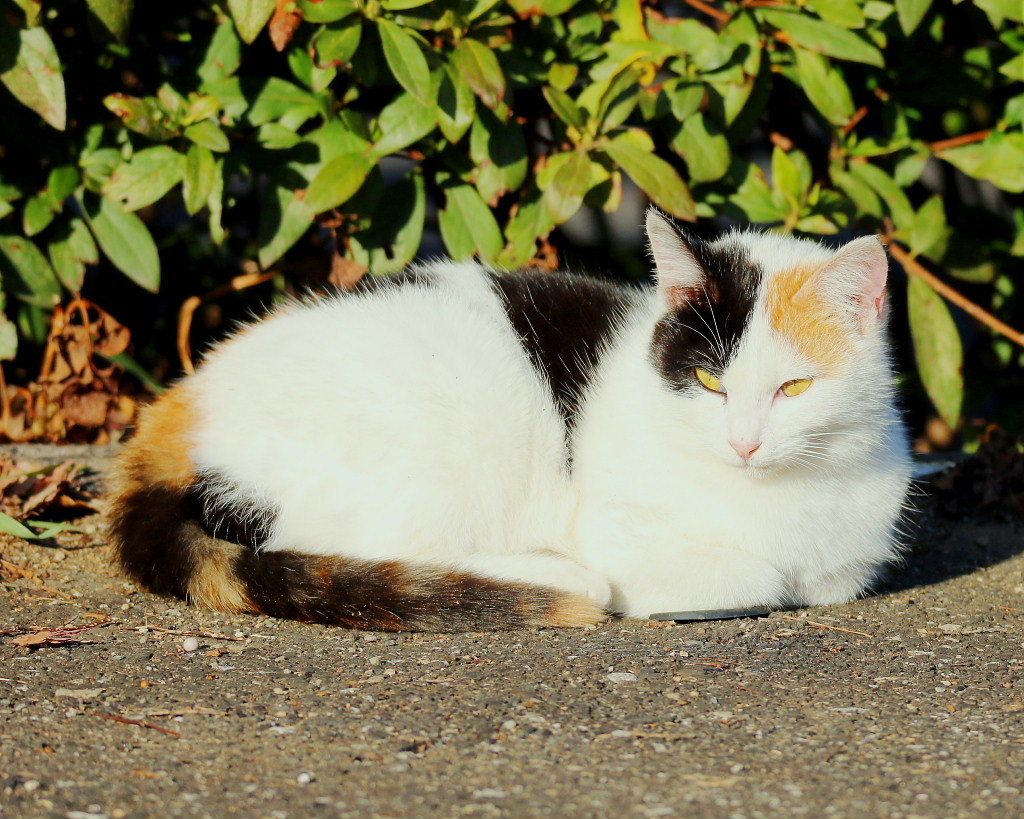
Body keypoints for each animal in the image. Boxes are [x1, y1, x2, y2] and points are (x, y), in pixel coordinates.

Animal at [110, 210, 913, 634]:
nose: (744, 443)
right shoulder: (620, 531)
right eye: (710, 380)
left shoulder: (846, 569)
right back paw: (546, 572)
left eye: (794, 387)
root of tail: (184, 404)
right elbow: (758, 577)